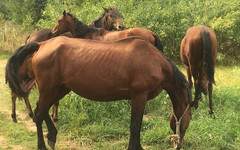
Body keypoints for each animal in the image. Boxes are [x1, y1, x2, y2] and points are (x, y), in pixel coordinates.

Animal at [5, 36, 191, 150]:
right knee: (38, 114)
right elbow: (135, 126)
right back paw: (43, 144)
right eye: (188, 121)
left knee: (41, 111)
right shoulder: (139, 96)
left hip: (59, 90)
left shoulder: (141, 99)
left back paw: (52, 136)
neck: (155, 62)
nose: (179, 144)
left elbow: (136, 126)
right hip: (49, 90)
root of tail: (42, 45)